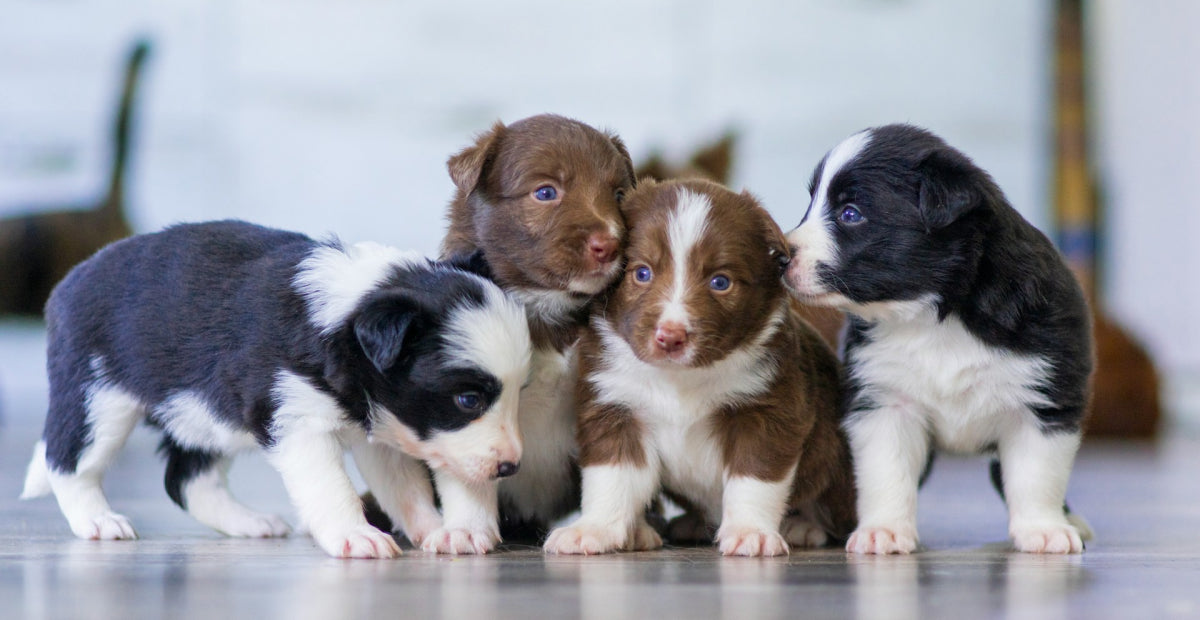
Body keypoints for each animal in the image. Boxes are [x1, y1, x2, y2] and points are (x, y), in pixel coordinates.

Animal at [18, 220, 530, 556]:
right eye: (468, 400)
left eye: (519, 393)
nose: (510, 467)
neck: (348, 316)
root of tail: (68, 282)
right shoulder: (298, 422)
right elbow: (331, 487)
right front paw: (356, 536)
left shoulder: (382, 429)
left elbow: (405, 487)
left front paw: (437, 530)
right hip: (98, 395)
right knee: (69, 461)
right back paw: (98, 520)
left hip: (203, 414)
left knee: (186, 479)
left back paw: (248, 522)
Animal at [544, 178, 854, 556]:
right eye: (642, 273)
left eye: (720, 282)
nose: (670, 337)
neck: (680, 378)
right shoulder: (615, 407)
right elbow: (610, 476)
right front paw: (592, 529)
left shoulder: (767, 409)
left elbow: (753, 479)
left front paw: (750, 531)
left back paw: (803, 526)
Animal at [787, 123, 1099, 554]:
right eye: (810, 204)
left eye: (851, 214)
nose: (780, 255)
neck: (933, 316)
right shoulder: (885, 402)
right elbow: (886, 472)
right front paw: (884, 530)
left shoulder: (1043, 400)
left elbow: (1036, 474)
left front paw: (1044, 529)